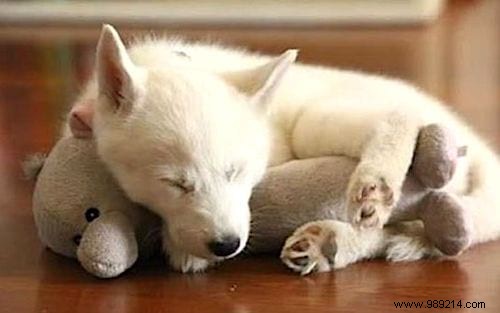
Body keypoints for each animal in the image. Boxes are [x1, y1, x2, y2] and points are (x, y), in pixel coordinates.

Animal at [67, 25, 500, 272]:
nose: (227, 245)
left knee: (397, 120)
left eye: (236, 171)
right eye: (175, 184)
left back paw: (375, 186)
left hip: (318, 119)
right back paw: (331, 243)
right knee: (398, 230)